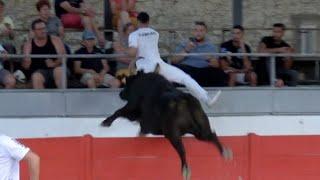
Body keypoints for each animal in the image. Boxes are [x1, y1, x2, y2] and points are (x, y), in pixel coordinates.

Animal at [100, 71, 232, 179]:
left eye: (127, 84)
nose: (121, 93)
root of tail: (183, 98)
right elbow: (140, 129)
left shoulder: (132, 108)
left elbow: (119, 112)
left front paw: (105, 122)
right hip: (201, 129)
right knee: (211, 135)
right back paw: (225, 152)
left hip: (172, 134)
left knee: (181, 149)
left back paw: (185, 171)